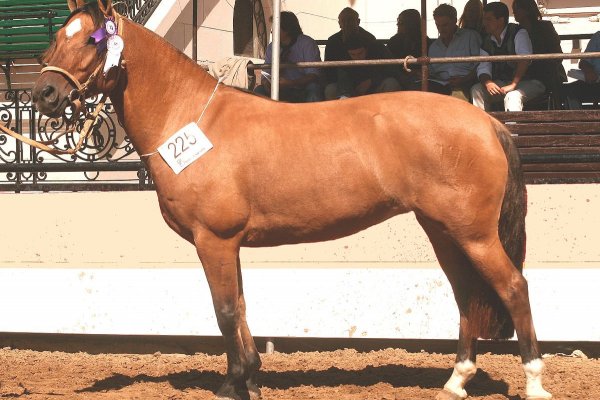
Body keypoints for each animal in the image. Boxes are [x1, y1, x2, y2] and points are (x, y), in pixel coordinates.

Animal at [34, 1, 552, 398]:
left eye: (91, 41)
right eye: (57, 36)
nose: (44, 94)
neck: (190, 118)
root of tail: (486, 121)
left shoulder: (214, 240)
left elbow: (225, 311)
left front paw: (233, 386)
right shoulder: (228, 245)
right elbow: (241, 309)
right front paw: (248, 380)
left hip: (475, 234)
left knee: (514, 288)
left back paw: (534, 383)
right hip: (444, 232)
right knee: (466, 296)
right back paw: (455, 382)